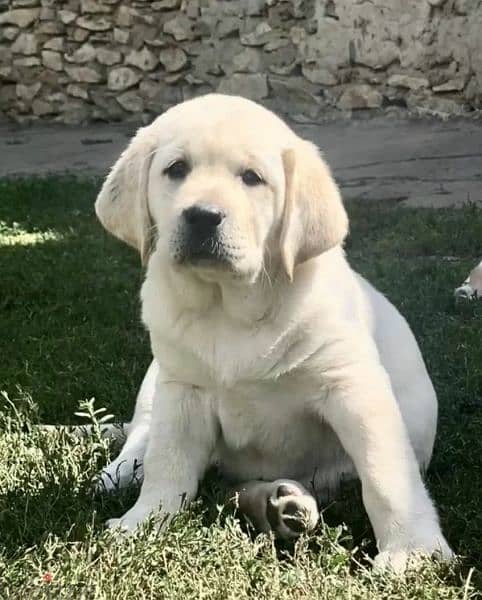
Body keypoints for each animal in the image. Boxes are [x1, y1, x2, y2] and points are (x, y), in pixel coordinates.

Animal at [95, 94, 452, 572]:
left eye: (252, 178)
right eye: (176, 169)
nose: (202, 216)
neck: (229, 308)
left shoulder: (351, 386)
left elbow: (386, 475)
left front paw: (413, 550)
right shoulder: (183, 390)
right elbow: (167, 462)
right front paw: (146, 520)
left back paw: (282, 505)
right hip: (155, 385)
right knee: (142, 441)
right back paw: (117, 477)